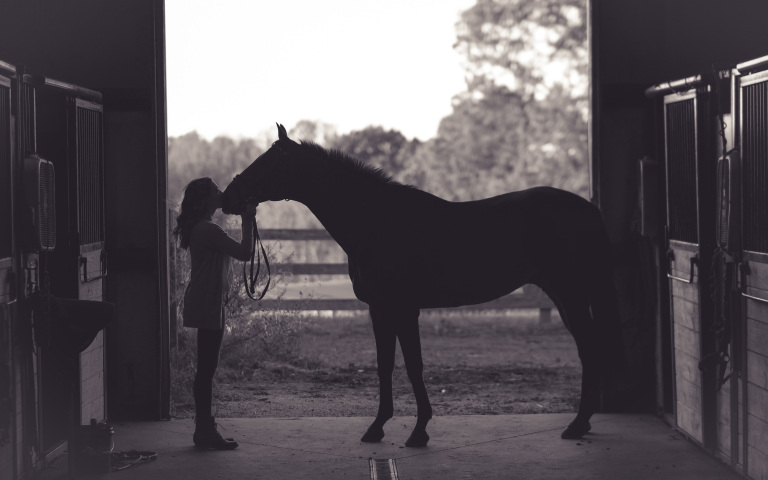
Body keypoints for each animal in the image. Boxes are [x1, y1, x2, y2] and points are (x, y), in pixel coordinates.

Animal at [222, 123, 624, 446]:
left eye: (268, 163)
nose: (228, 197)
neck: (376, 222)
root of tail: (587, 208)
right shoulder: (379, 309)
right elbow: (385, 365)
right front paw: (377, 428)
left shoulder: (404, 308)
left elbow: (413, 365)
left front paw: (418, 432)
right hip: (564, 295)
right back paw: (581, 424)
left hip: (570, 294)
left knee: (589, 349)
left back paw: (577, 425)